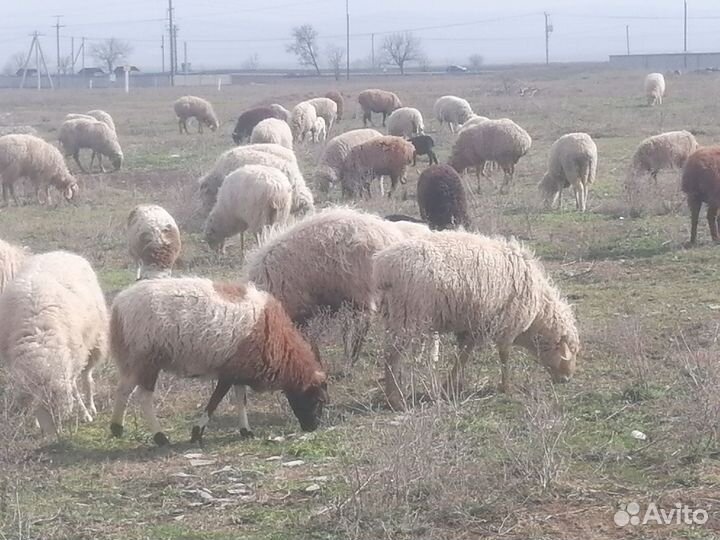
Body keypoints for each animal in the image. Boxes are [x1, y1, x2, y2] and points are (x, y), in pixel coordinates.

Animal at [0, 251, 108, 435]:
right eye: (41, 411)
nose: (52, 436)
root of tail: (59, 252)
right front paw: (35, 423)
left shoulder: (72, 358)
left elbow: (74, 389)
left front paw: (84, 414)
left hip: (94, 343)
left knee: (87, 377)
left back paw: (90, 406)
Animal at [108, 278, 328, 446]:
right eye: (318, 400)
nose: (312, 427)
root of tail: (119, 305)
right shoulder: (229, 372)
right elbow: (215, 401)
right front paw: (197, 433)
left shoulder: (241, 369)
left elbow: (241, 399)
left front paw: (246, 431)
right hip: (148, 358)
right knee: (144, 396)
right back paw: (160, 437)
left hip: (133, 359)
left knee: (123, 389)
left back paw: (117, 428)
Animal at [373, 231, 580, 409]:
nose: (567, 379)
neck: (538, 314)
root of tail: (384, 264)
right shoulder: (506, 324)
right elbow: (504, 356)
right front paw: (505, 387)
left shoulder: (474, 326)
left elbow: (463, 355)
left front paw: (449, 386)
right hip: (408, 315)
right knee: (392, 355)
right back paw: (395, 401)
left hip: (395, 315)